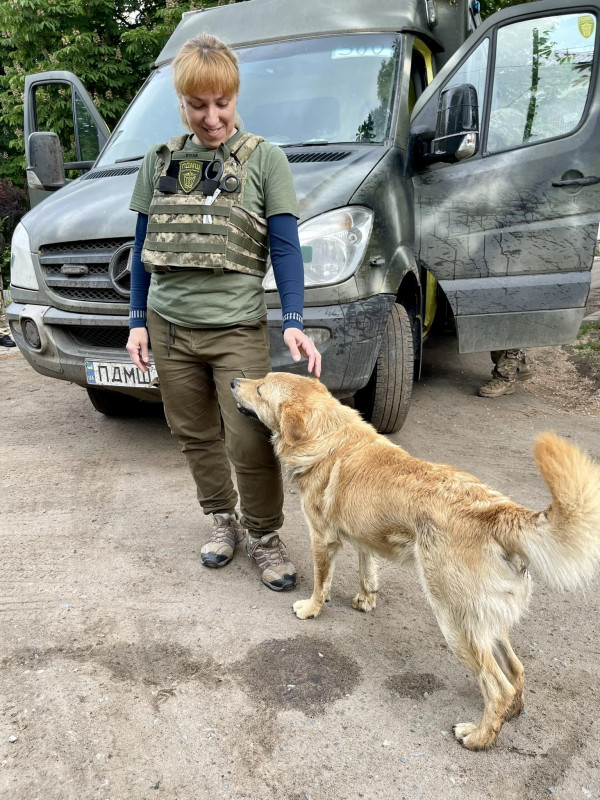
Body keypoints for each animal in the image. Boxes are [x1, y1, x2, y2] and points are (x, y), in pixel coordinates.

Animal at [230, 372, 600, 748]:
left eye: (259, 389)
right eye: (260, 379)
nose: (232, 381)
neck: (328, 435)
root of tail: (498, 512)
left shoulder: (322, 538)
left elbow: (322, 582)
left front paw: (311, 608)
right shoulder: (364, 536)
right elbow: (367, 570)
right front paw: (366, 599)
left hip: (455, 622)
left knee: (497, 686)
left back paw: (479, 736)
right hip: (486, 622)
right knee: (516, 671)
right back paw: (509, 716)